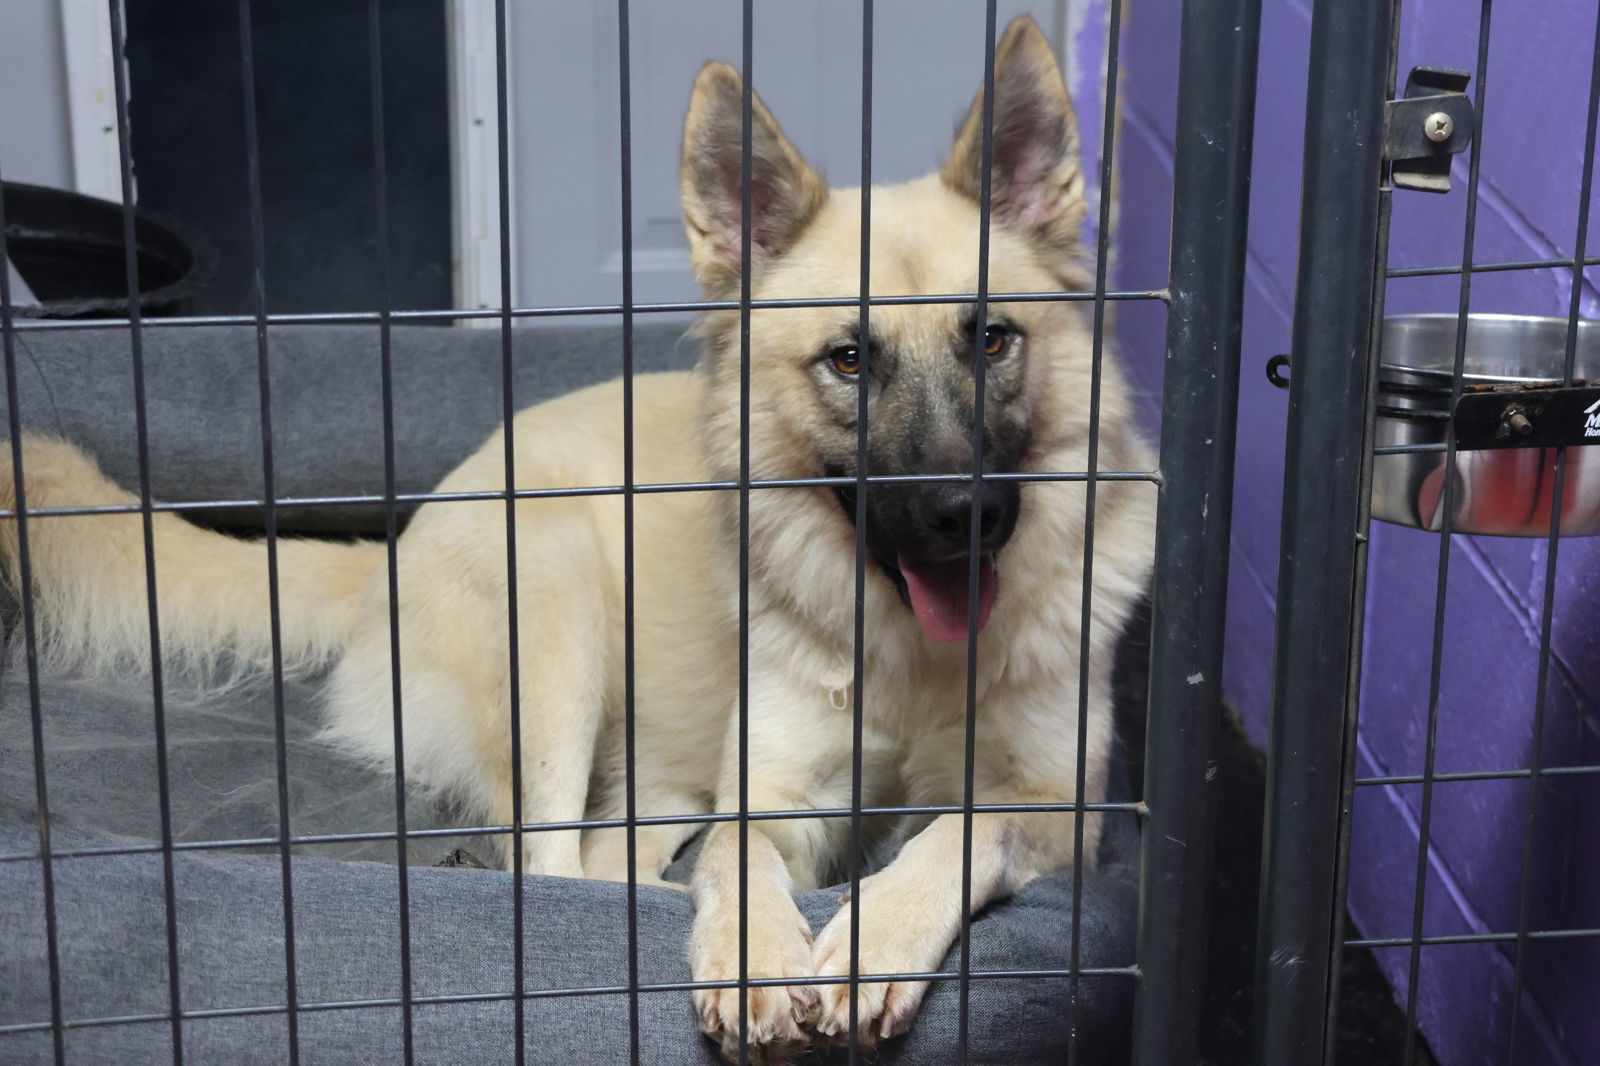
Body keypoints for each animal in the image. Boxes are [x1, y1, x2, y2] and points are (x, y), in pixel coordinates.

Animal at [0, 12, 1158, 1056]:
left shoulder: (1059, 814)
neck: (908, 655)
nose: (966, 516)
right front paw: (750, 954)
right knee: (553, 870)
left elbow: (956, 830)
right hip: (558, 619)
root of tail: (405, 539)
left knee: (612, 858)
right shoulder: (773, 801)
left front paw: (868, 939)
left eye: (993, 340)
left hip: (645, 760)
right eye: (848, 360)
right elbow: (741, 862)